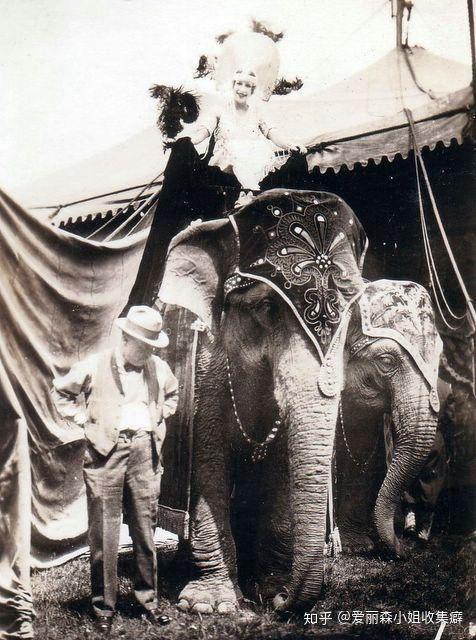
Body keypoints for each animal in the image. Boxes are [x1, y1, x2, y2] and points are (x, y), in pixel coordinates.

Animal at [158, 189, 442, 614]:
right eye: (266, 308)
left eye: (347, 321)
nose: (403, 553)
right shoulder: (206, 361)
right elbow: (208, 456)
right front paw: (210, 605)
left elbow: (285, 461)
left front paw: (271, 585)